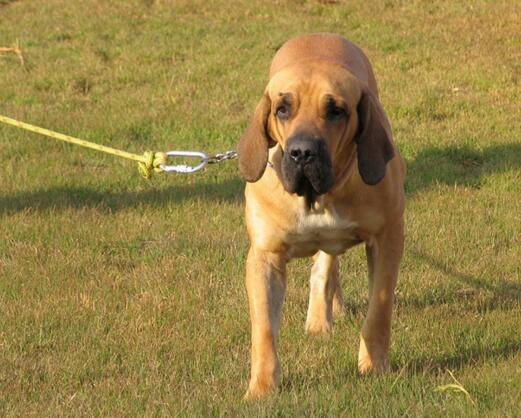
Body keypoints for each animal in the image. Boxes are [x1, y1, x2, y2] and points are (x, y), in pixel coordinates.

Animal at [237, 33, 405, 399]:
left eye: (336, 111)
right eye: (282, 109)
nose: (302, 152)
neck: (318, 198)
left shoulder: (387, 238)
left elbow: (379, 309)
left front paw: (373, 366)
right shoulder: (264, 257)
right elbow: (263, 330)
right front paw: (262, 387)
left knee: (326, 264)